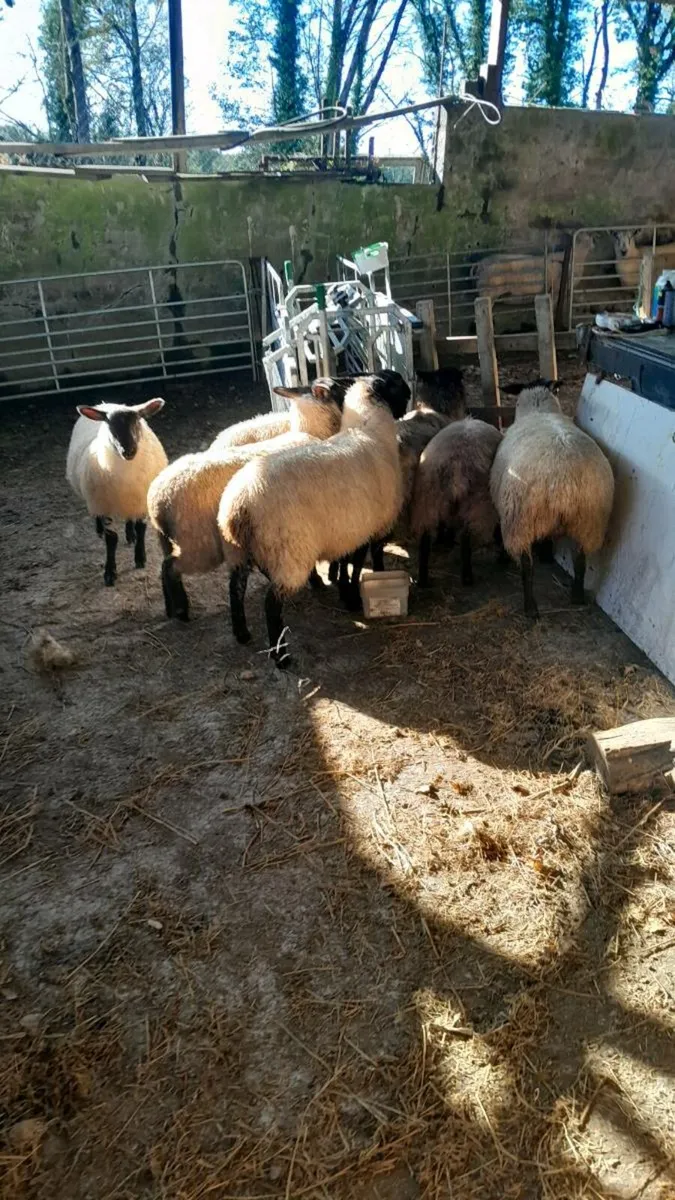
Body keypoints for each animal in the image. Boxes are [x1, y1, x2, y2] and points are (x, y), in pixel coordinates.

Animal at [66, 399, 167, 586]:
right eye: (110, 426)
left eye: (137, 421)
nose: (128, 450)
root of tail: (107, 404)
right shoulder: (105, 504)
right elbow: (111, 539)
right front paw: (110, 572)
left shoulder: (141, 500)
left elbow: (141, 528)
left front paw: (140, 558)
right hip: (95, 499)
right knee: (97, 515)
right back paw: (99, 529)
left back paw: (130, 533)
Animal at [148, 379, 345, 621]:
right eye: (337, 389)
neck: (310, 432)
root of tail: (158, 501)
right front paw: (316, 581)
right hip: (198, 542)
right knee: (170, 566)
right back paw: (181, 610)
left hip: (176, 539)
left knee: (164, 565)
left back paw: (170, 608)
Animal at [217, 371, 411, 666]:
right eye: (396, 384)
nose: (411, 393)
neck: (368, 430)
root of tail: (238, 507)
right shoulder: (370, 527)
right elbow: (360, 564)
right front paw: (356, 594)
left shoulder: (347, 529)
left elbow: (344, 565)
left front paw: (343, 590)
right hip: (289, 552)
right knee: (271, 604)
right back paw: (281, 656)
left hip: (239, 551)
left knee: (235, 588)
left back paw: (242, 634)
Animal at [410, 418, 503, 588]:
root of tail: (456, 463)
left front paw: (444, 539)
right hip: (478, 504)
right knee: (466, 539)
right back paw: (467, 577)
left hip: (427, 499)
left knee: (425, 540)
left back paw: (423, 579)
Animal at [490, 386, 615, 619]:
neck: (540, 410)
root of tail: (565, 481)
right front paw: (547, 554)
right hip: (588, 522)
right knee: (580, 561)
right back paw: (577, 597)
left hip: (520, 522)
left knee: (527, 567)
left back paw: (530, 608)